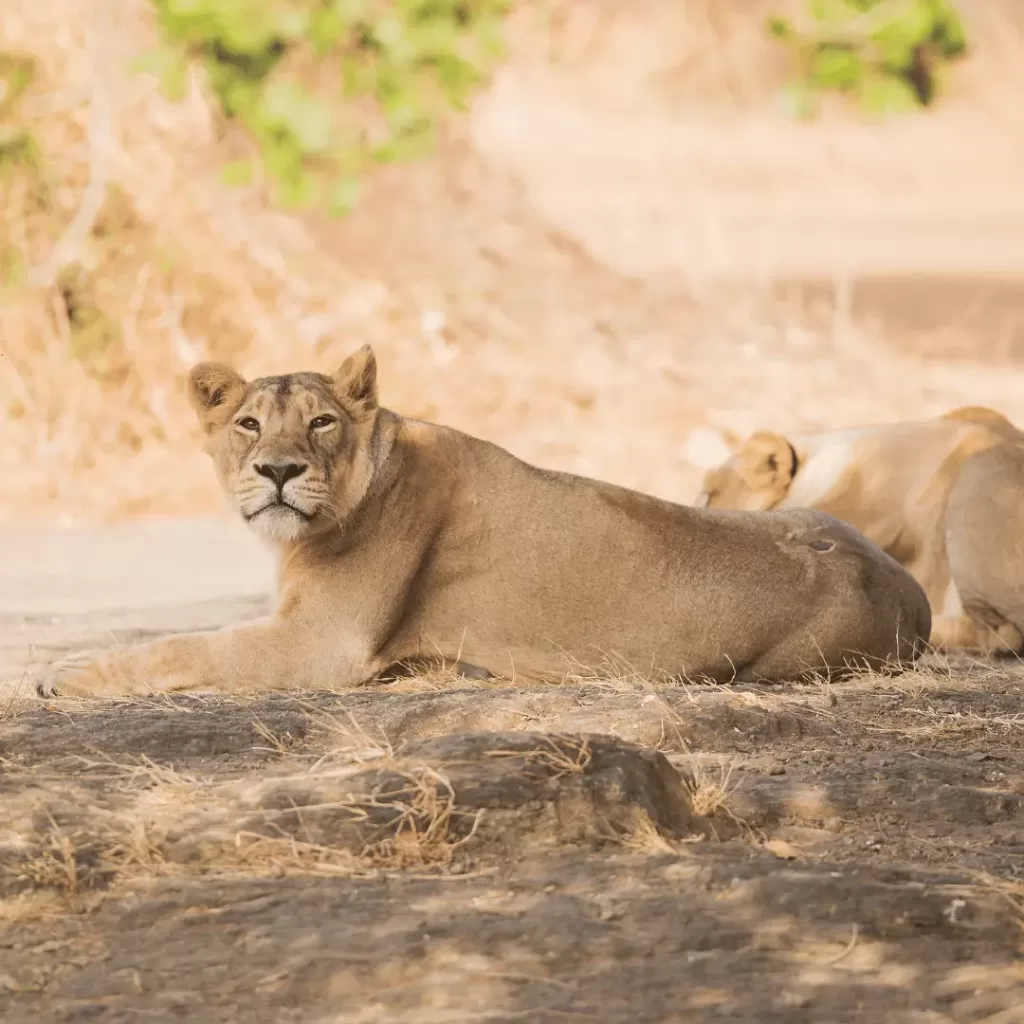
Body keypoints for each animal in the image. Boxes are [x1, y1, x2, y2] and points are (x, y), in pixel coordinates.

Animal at [37, 344, 929, 696]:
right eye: (249, 425)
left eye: (321, 423)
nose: (279, 472)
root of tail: (912, 593)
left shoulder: (321, 642)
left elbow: (178, 647)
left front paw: (61, 677)